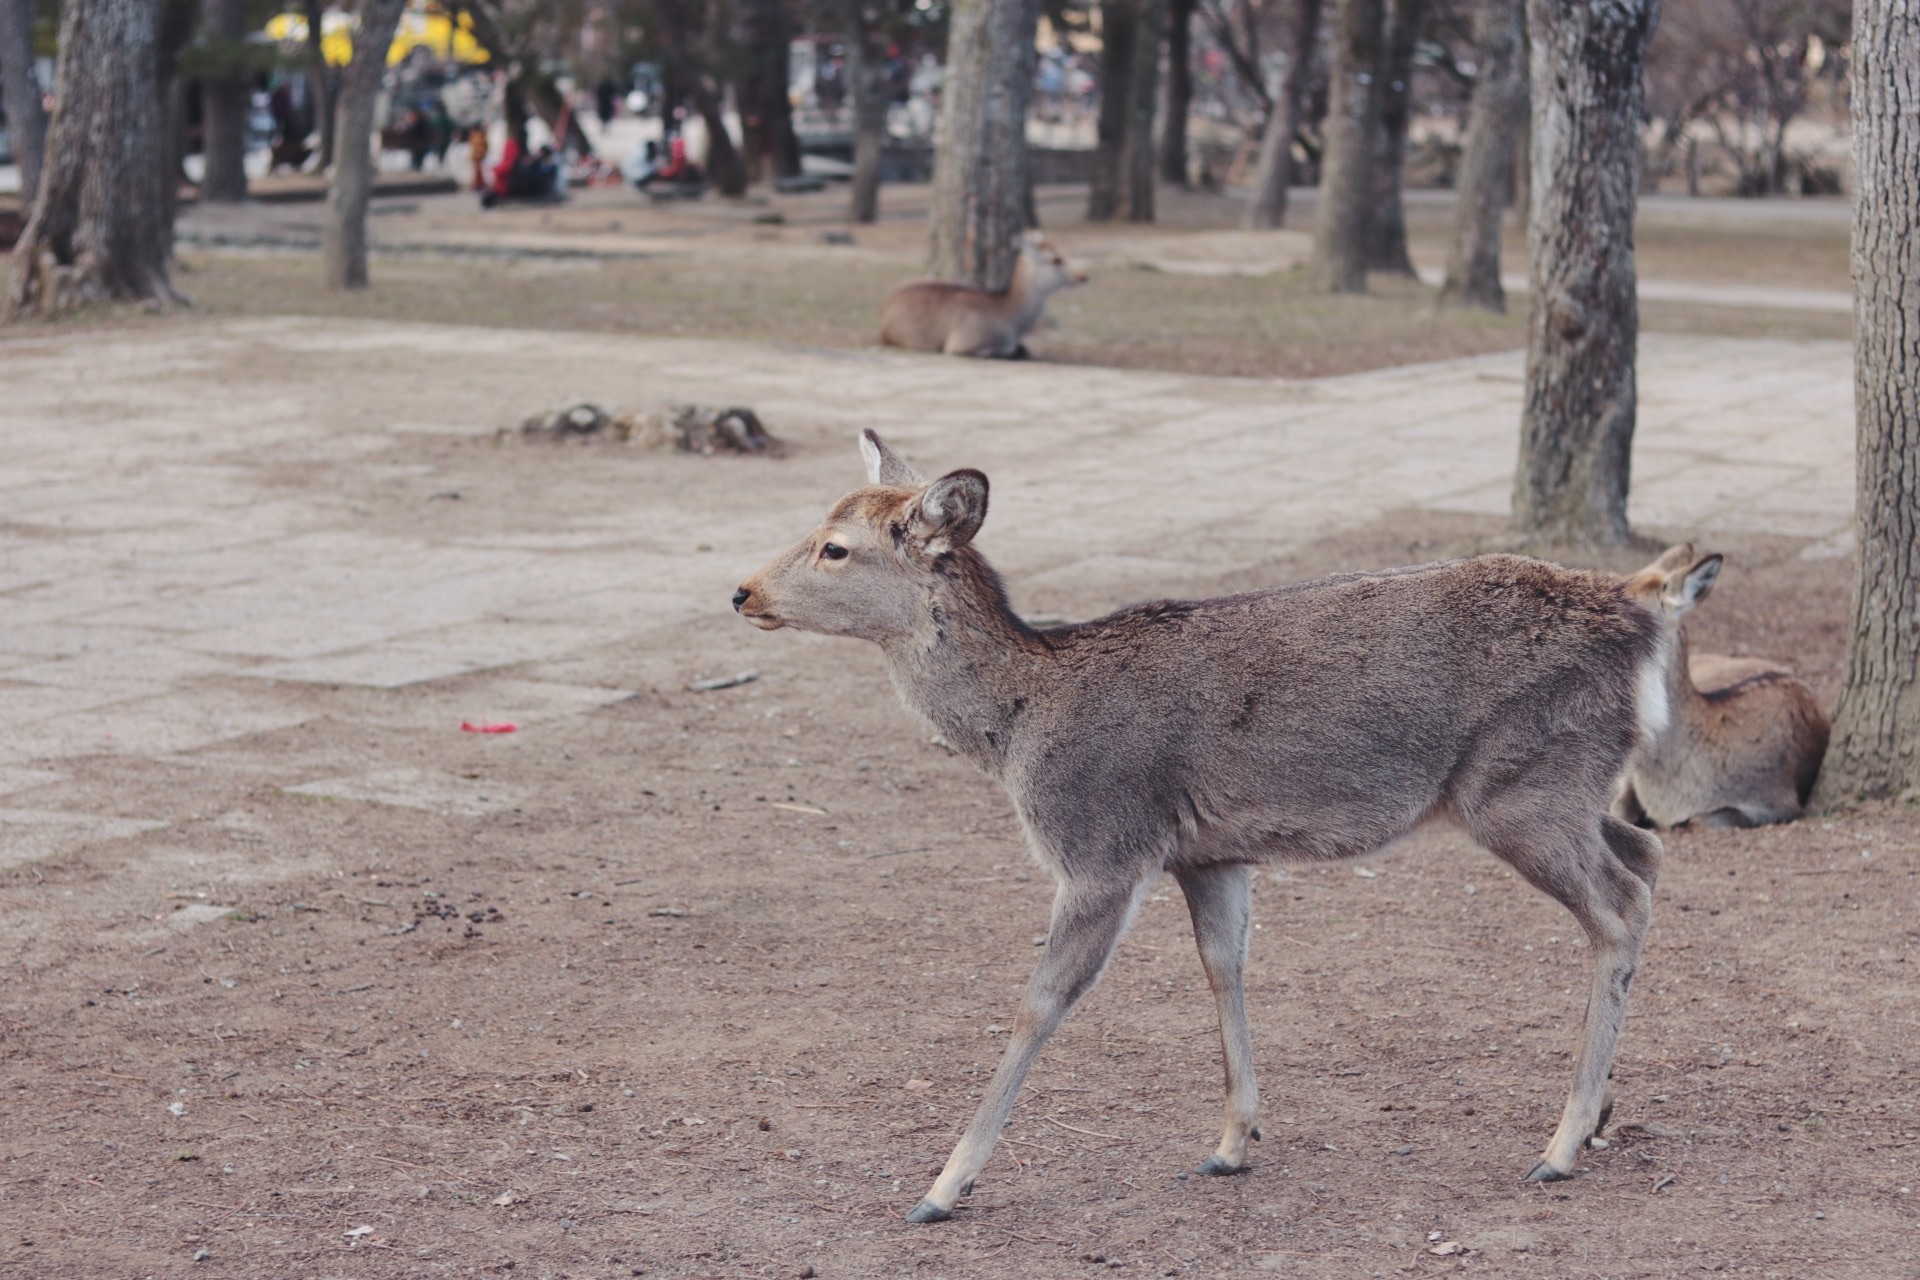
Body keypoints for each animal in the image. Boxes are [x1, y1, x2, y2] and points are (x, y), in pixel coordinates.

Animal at [725, 435, 1674, 1228]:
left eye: (835, 546)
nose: (742, 590)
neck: (1020, 723)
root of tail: (1642, 618)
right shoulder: (1209, 853)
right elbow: (1224, 966)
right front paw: (1230, 1143)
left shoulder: (1101, 846)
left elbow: (1039, 1001)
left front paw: (942, 1186)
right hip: (1572, 785)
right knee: (1648, 850)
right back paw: (1601, 1108)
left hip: (1522, 788)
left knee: (1620, 902)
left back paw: (1560, 1145)